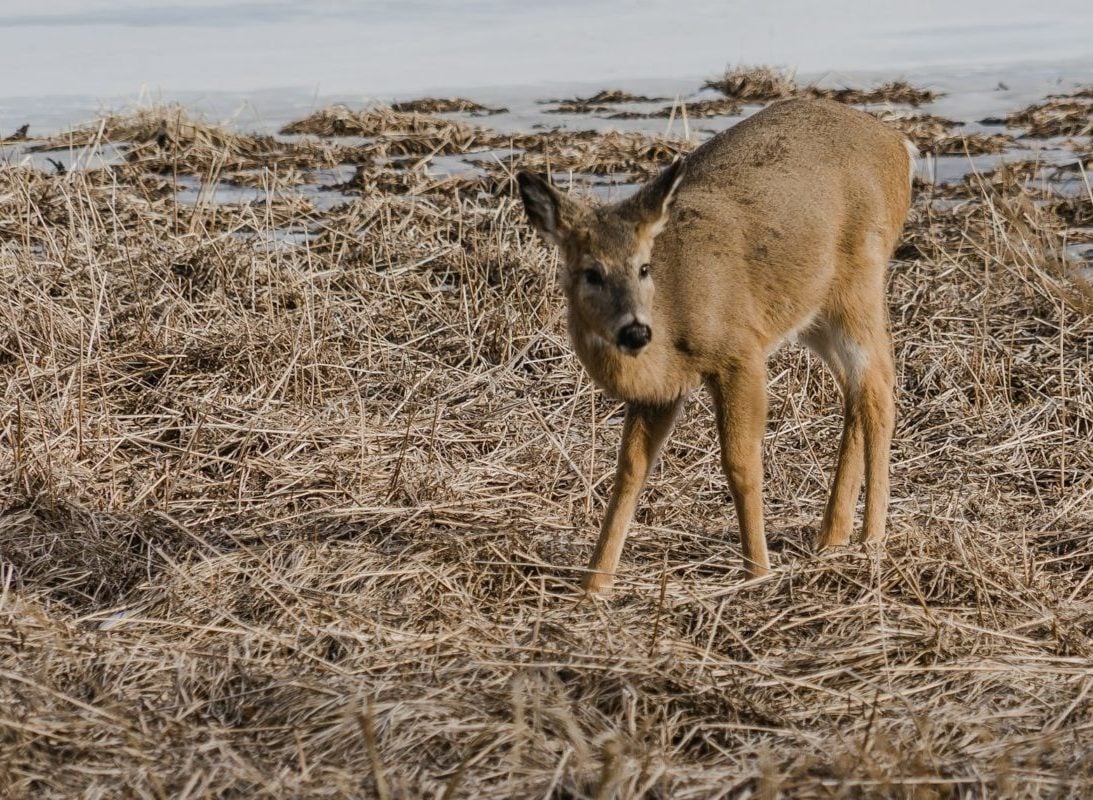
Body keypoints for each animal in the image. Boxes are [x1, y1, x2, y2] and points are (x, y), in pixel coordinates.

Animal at [513, 96, 913, 594]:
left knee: (878, 388)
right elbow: (629, 472)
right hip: (814, 312)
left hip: (861, 284)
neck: (673, 319)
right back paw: (831, 538)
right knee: (856, 392)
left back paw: (871, 539)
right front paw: (594, 584)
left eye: (643, 267)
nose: (635, 332)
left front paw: (757, 571)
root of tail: (898, 145)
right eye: (591, 272)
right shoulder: (661, 390)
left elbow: (741, 464)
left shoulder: (739, 352)